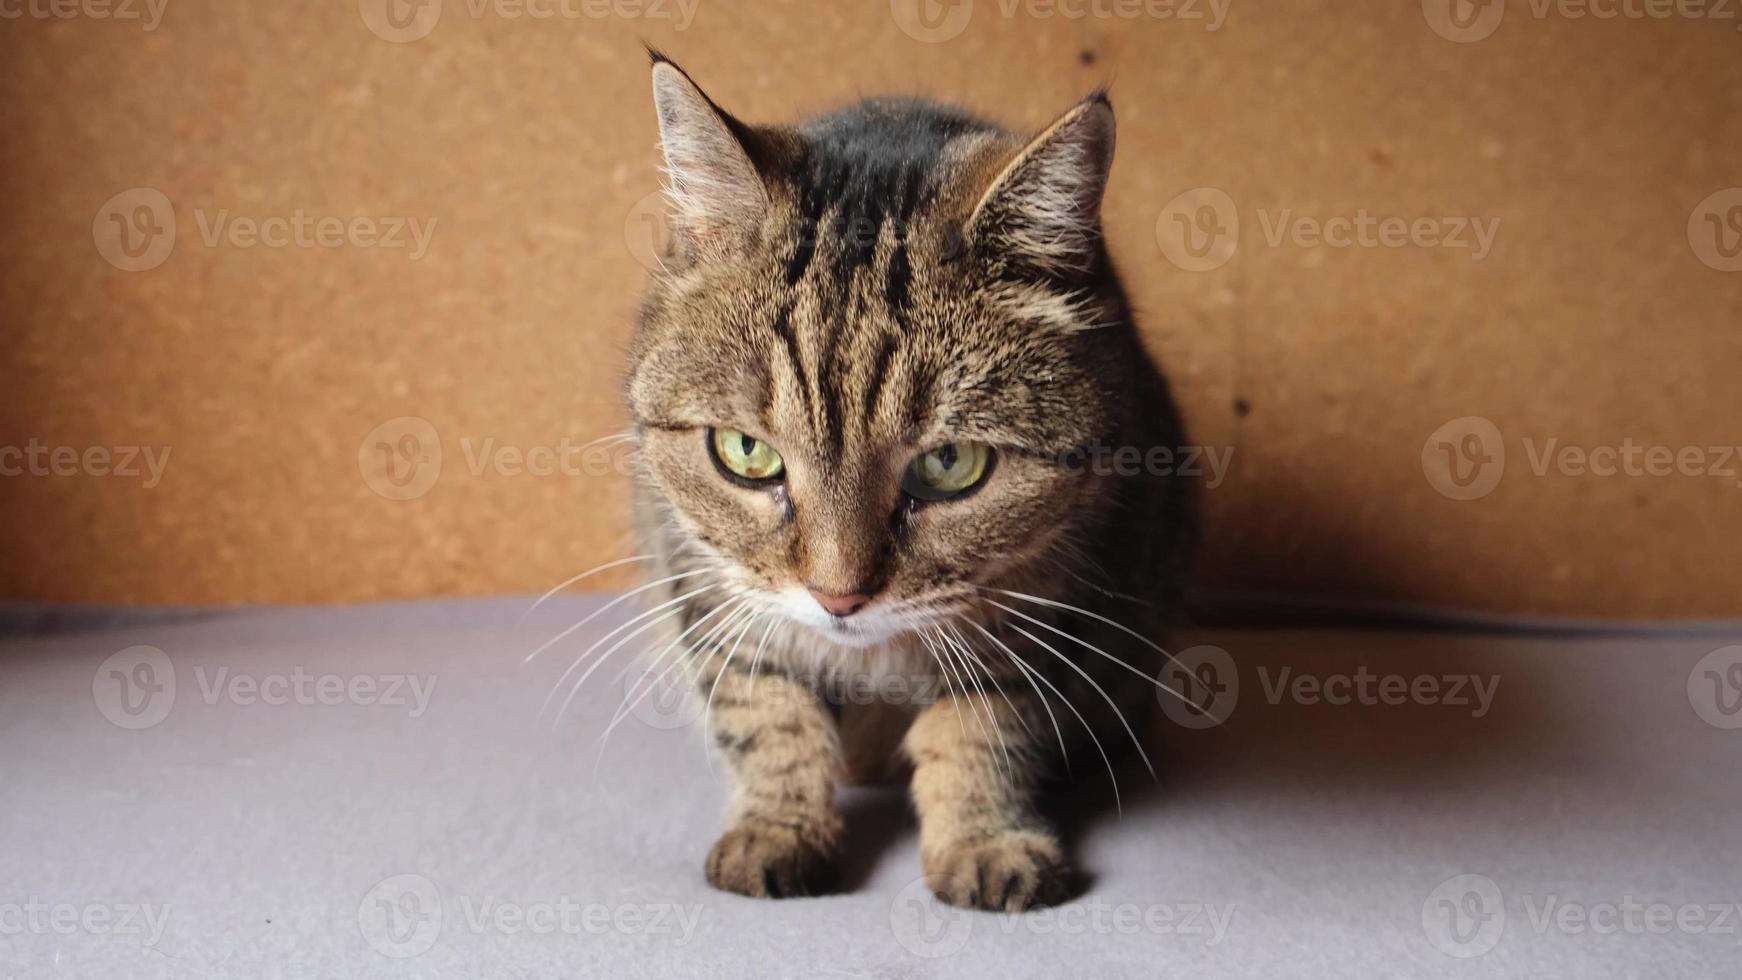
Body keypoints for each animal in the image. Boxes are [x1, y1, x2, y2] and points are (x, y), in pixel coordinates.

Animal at [627, 51, 1198, 912]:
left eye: (950, 465)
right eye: (746, 452)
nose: (837, 598)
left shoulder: (1044, 603)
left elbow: (984, 730)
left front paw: (985, 839)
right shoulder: (707, 584)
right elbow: (768, 713)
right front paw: (780, 825)